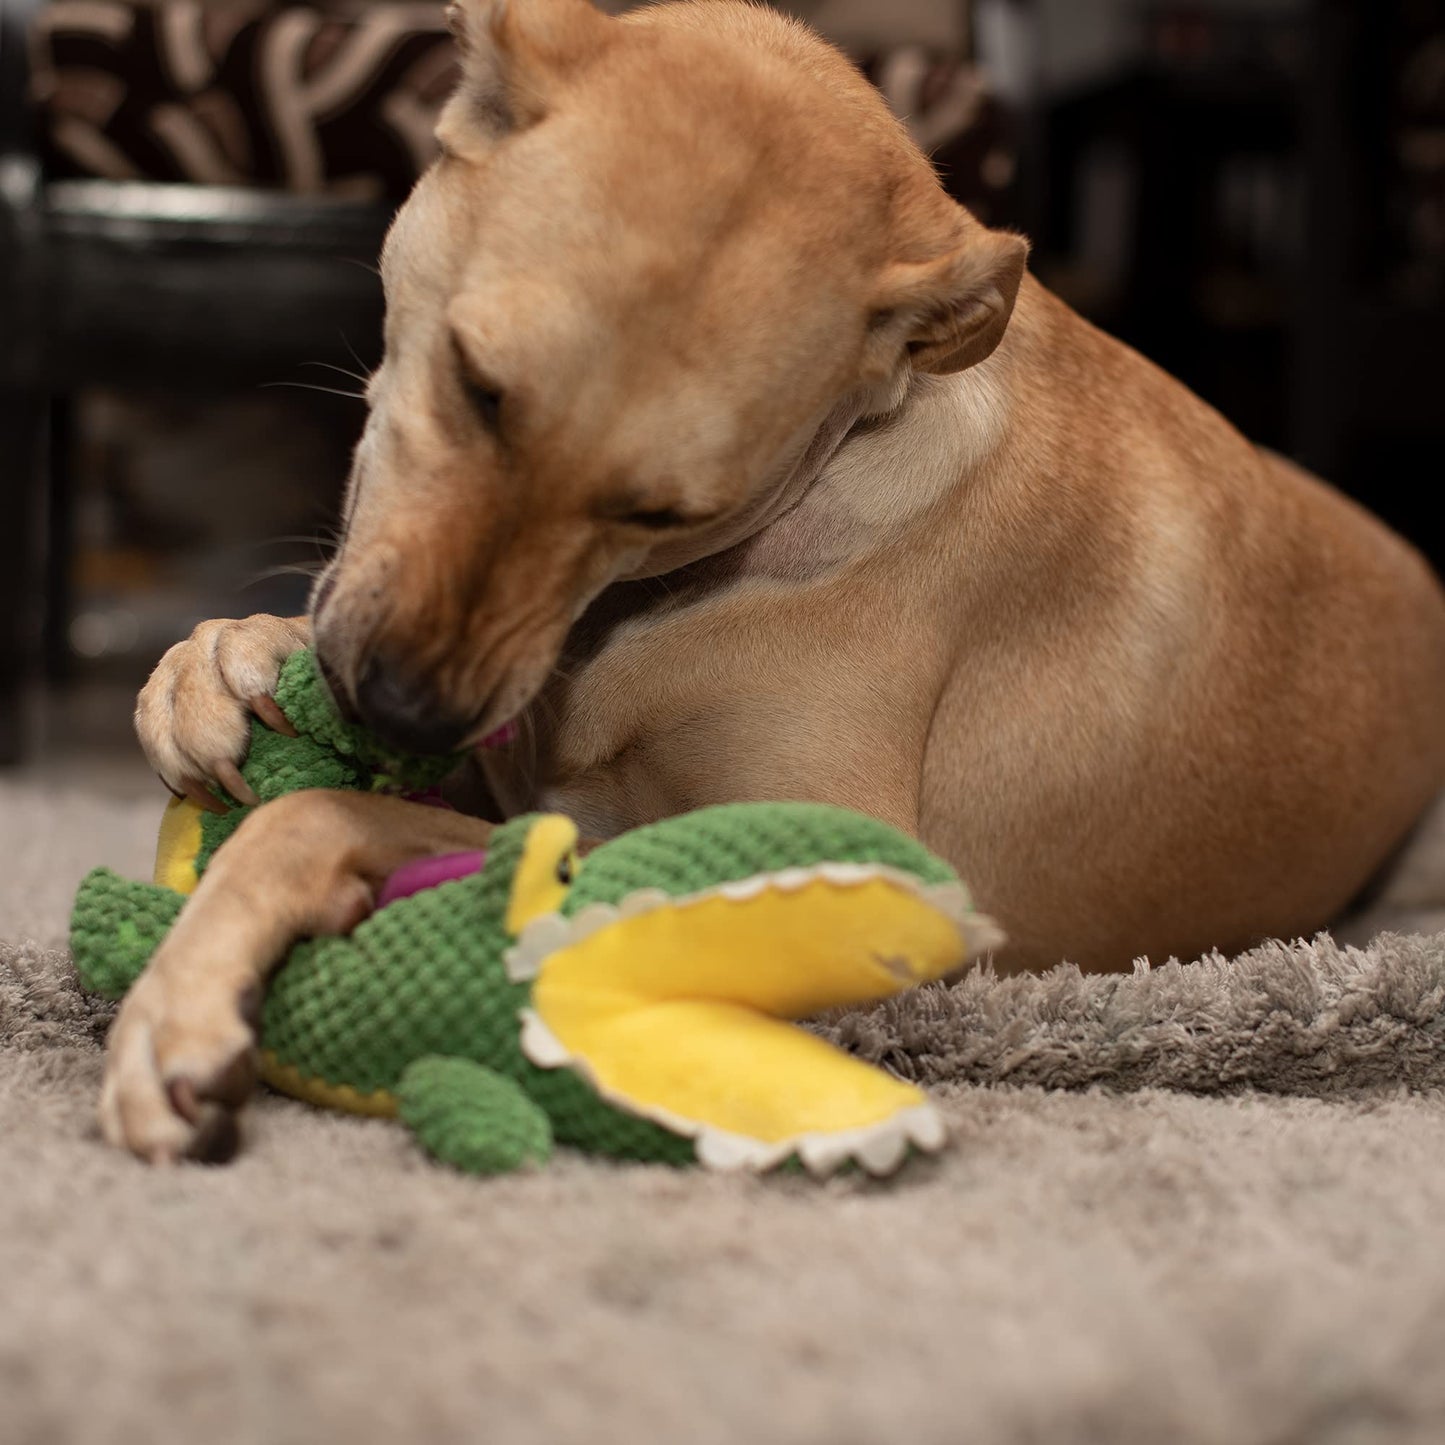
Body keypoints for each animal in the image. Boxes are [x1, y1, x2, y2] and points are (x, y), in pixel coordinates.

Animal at [98, 0, 1445, 1156]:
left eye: (663, 511)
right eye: (478, 385)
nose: (400, 711)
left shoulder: (845, 868)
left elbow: (323, 812)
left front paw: (188, 993)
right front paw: (218, 659)